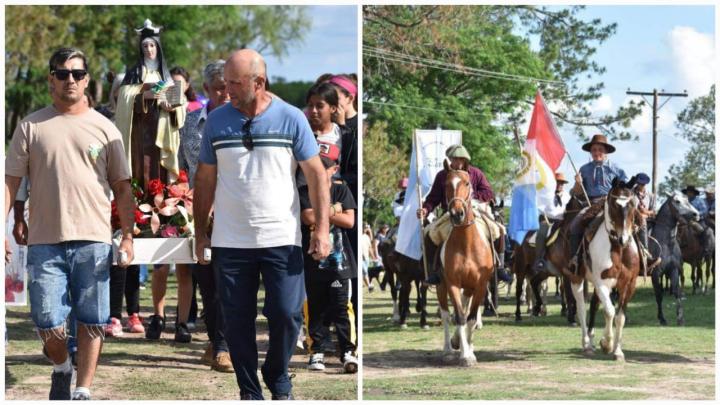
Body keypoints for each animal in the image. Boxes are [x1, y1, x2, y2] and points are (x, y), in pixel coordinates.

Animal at [434, 159, 496, 366]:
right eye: (446, 184)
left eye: (467, 183)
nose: (457, 213)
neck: (467, 244)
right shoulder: (452, 283)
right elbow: (460, 317)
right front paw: (465, 355)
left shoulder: (481, 285)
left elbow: (470, 318)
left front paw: (469, 351)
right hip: (441, 286)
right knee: (446, 314)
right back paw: (448, 349)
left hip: (469, 287)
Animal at [572, 178, 640, 362]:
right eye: (614, 204)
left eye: (633, 204)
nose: (624, 239)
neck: (618, 249)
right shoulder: (602, 283)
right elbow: (609, 311)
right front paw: (607, 343)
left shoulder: (628, 285)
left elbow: (620, 317)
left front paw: (618, 351)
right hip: (577, 279)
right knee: (582, 308)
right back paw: (587, 344)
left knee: (594, 304)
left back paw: (591, 337)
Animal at [648, 192, 700, 326]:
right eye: (677, 201)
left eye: (687, 199)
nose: (696, 214)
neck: (666, 243)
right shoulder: (655, 273)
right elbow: (659, 295)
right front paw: (662, 319)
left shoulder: (674, 270)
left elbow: (677, 292)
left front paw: (680, 318)